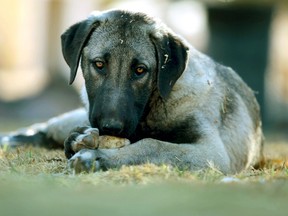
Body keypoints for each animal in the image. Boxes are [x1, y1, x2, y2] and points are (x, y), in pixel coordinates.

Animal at [0, 9, 264, 174]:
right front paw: (80, 141)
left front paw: (98, 157)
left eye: (140, 70)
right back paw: (15, 137)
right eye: (99, 64)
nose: (110, 127)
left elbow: (153, 145)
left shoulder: (212, 152)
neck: (154, 107)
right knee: (50, 127)